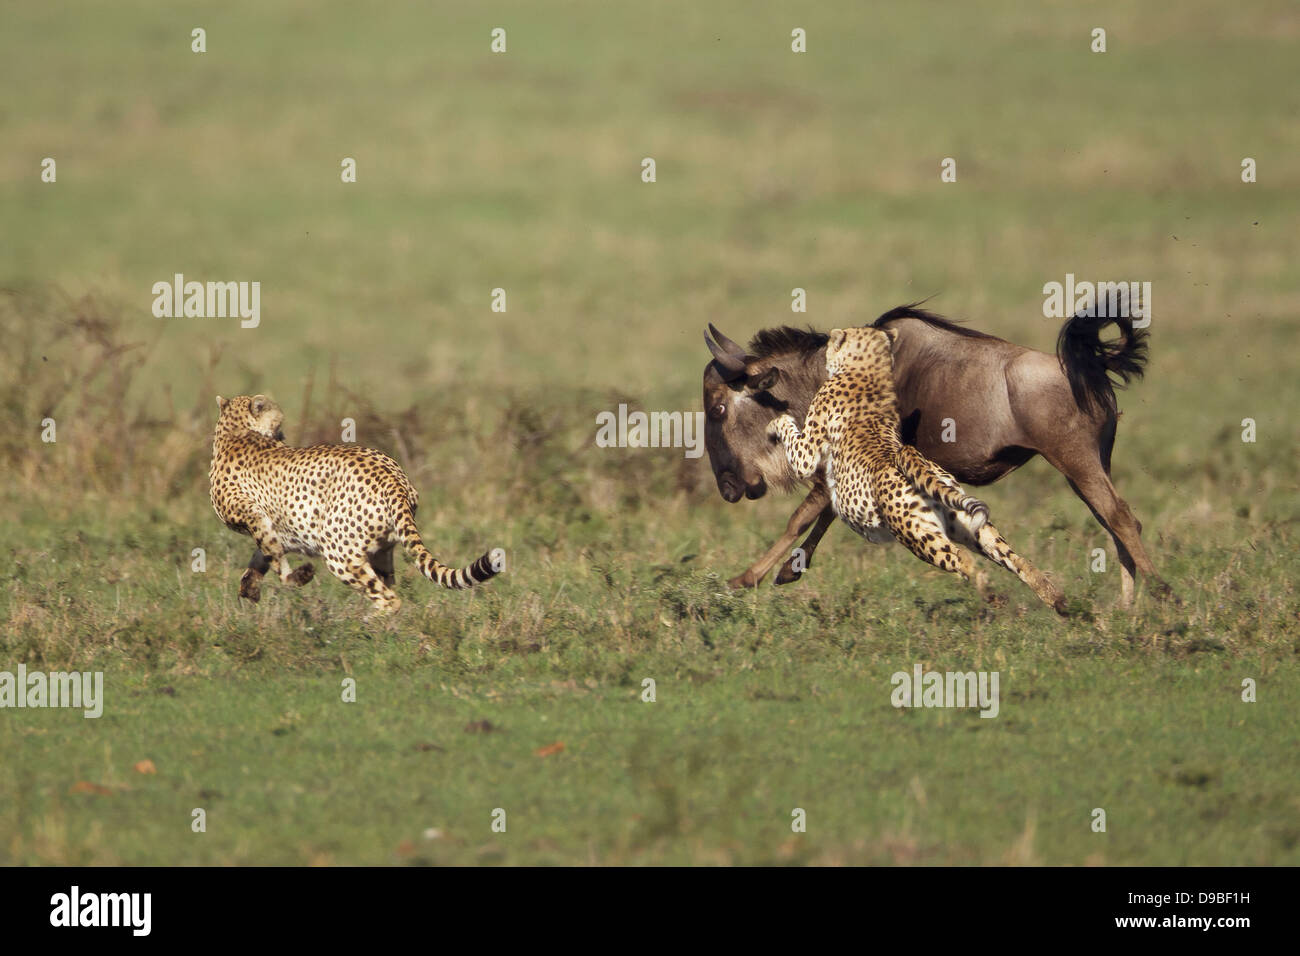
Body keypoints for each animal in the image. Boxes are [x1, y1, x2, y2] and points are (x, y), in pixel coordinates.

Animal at [210, 395, 499, 613]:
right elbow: (262, 556)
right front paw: (249, 587)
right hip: (380, 549)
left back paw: (364, 628)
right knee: (387, 585)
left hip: (339, 553)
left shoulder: (254, 516)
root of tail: (394, 478)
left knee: (390, 600)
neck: (235, 430)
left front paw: (295, 577)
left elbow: (274, 557)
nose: (282, 435)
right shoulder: (272, 526)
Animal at [769, 327, 1066, 613]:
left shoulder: (806, 455)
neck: (869, 371)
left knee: (961, 558)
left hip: (918, 536)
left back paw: (988, 590)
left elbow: (790, 434)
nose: (826, 351)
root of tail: (914, 462)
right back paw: (1055, 599)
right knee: (1015, 559)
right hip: (971, 526)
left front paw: (775, 422)